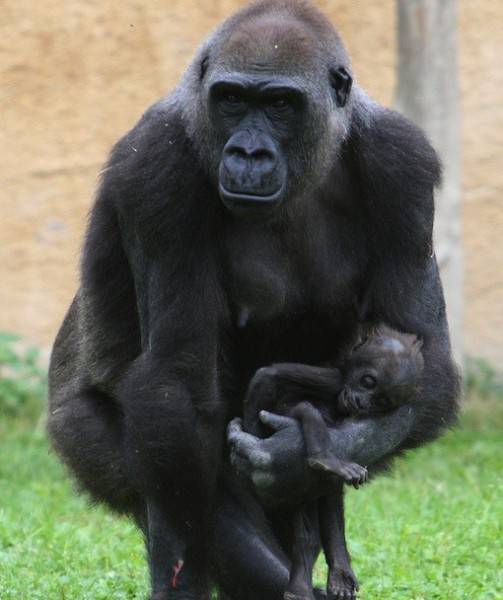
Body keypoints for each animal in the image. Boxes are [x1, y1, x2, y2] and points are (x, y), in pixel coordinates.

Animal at [242, 326, 424, 596]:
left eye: (381, 401)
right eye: (368, 381)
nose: (361, 402)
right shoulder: (334, 380)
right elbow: (269, 375)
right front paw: (250, 432)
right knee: (307, 409)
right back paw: (323, 459)